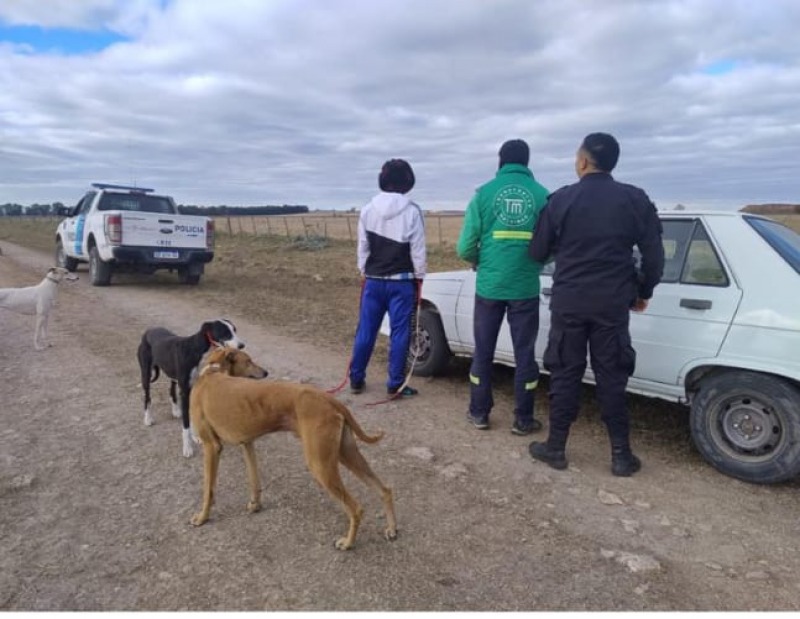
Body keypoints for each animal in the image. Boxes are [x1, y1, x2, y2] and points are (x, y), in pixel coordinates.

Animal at [138, 322, 245, 458]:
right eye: (225, 332)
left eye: (235, 330)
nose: (242, 345)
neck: (198, 349)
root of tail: (149, 331)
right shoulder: (185, 392)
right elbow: (186, 424)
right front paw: (187, 448)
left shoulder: (193, 389)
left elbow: (192, 415)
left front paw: (195, 436)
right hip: (146, 375)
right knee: (147, 397)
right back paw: (148, 419)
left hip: (172, 374)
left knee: (171, 391)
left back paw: (175, 411)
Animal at [188, 348, 400, 552]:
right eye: (248, 361)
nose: (265, 372)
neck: (212, 373)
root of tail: (329, 399)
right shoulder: (247, 444)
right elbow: (254, 480)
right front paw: (255, 505)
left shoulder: (211, 447)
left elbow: (208, 489)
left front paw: (202, 517)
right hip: (346, 454)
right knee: (385, 489)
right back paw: (391, 529)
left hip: (320, 465)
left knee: (356, 508)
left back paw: (348, 543)